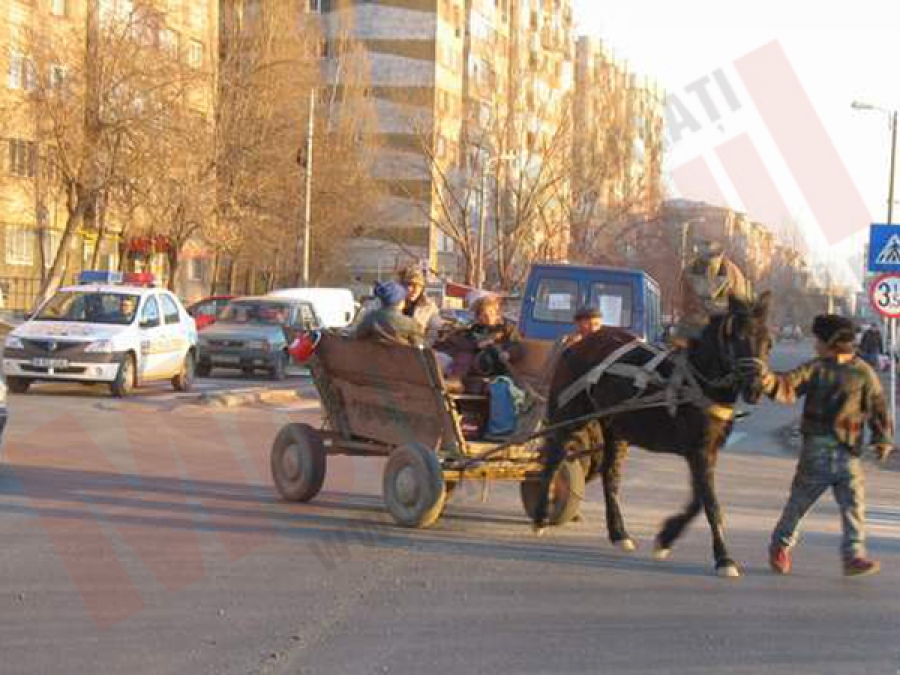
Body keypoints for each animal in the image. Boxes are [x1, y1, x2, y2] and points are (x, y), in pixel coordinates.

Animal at [536, 294, 772, 580]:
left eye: (768, 342)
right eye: (738, 338)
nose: (756, 388)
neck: (697, 382)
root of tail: (577, 345)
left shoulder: (706, 452)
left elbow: (698, 501)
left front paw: (666, 537)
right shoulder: (699, 452)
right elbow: (710, 504)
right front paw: (724, 558)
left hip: (616, 430)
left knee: (610, 478)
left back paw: (619, 533)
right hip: (569, 418)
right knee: (553, 460)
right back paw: (541, 517)